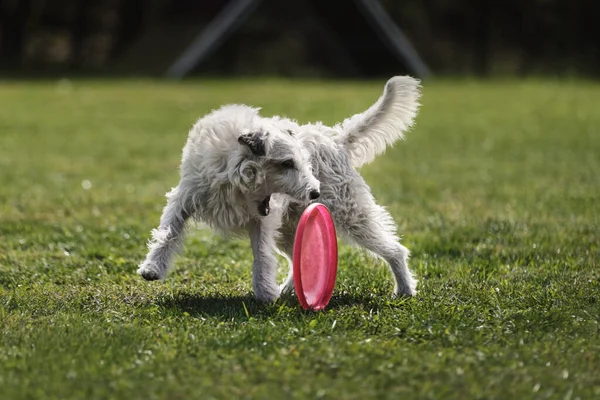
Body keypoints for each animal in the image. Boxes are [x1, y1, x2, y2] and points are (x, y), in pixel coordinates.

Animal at [138, 75, 420, 302]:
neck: (232, 172)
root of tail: (335, 139)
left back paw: (404, 290)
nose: (315, 193)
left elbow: (262, 256)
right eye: (287, 163)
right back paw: (291, 291)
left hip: (352, 215)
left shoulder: (262, 221)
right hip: (289, 230)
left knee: (395, 250)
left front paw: (264, 293)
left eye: (304, 163)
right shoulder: (184, 199)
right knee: (301, 259)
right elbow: (168, 233)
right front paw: (152, 267)